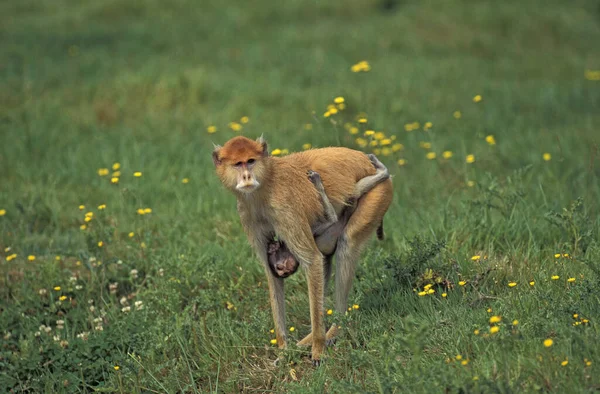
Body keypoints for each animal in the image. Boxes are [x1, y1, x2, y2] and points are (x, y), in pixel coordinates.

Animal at [212, 136, 394, 366]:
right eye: (238, 164)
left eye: (250, 161)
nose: (246, 176)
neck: (265, 184)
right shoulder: (247, 214)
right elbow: (273, 276)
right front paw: (284, 351)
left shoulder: (284, 209)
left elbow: (312, 260)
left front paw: (318, 349)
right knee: (327, 260)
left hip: (378, 195)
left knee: (347, 244)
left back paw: (334, 330)